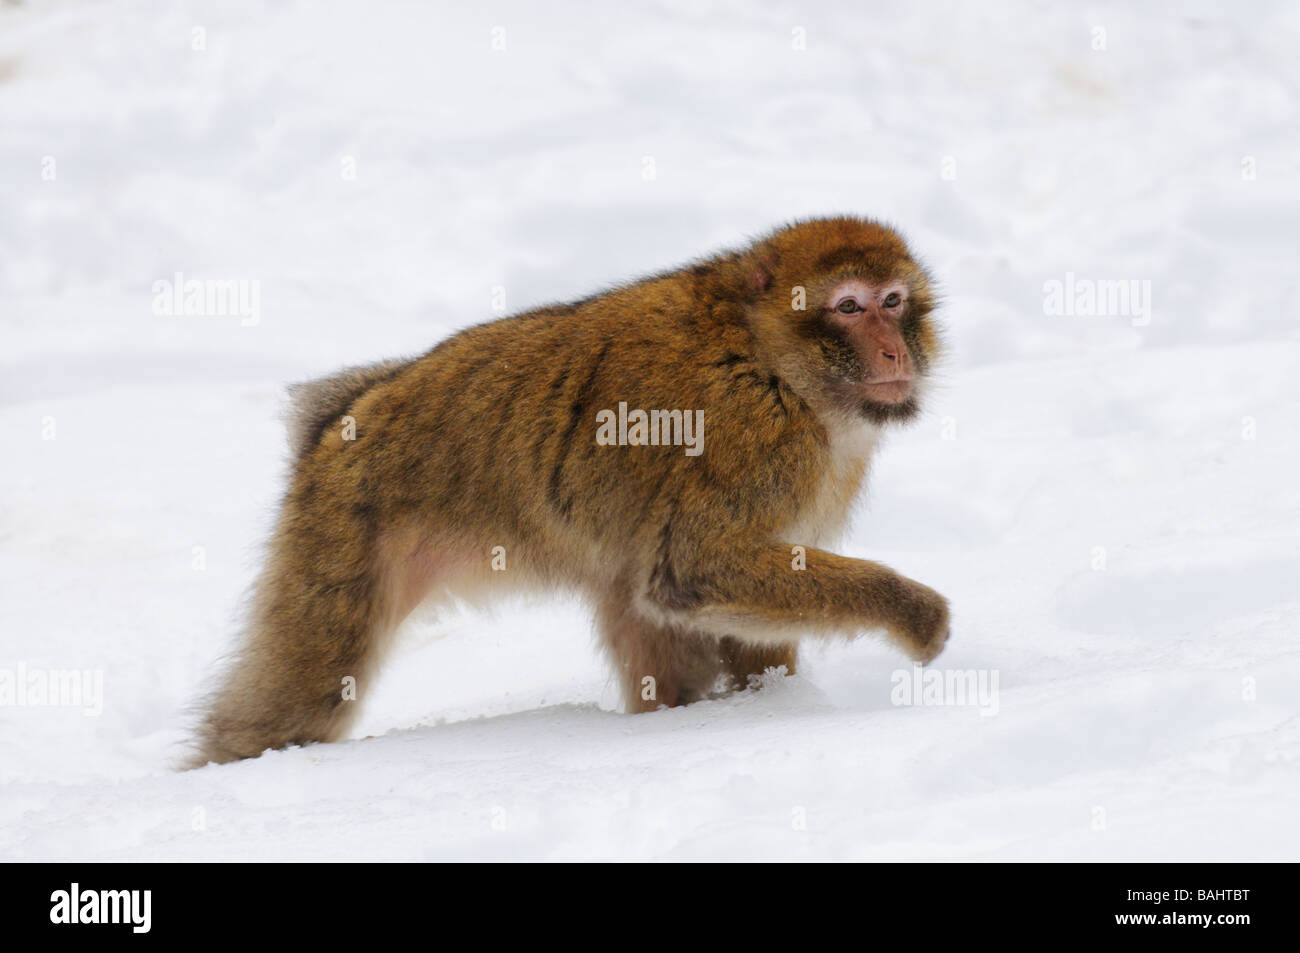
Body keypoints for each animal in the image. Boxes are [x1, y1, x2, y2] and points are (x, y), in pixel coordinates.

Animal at [188, 217, 951, 764]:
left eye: (892, 302)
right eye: (849, 307)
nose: (894, 351)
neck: (781, 368)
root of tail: (348, 413)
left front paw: (776, 703)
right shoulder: (751, 438)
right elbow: (692, 569)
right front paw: (912, 612)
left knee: (629, 593)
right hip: (346, 529)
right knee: (301, 695)